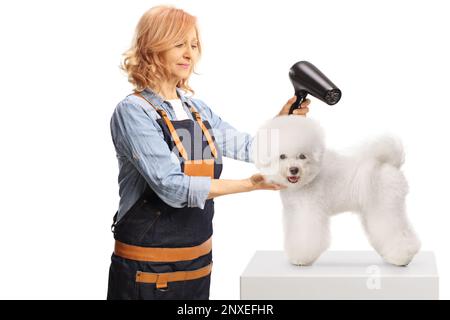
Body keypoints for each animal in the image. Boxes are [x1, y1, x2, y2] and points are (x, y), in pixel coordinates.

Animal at [253, 116, 422, 266]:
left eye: (302, 156)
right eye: (282, 156)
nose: (294, 169)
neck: (308, 179)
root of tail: (390, 164)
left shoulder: (308, 212)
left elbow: (307, 238)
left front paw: (301, 258)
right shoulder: (294, 212)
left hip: (386, 208)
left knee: (399, 233)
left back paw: (401, 258)